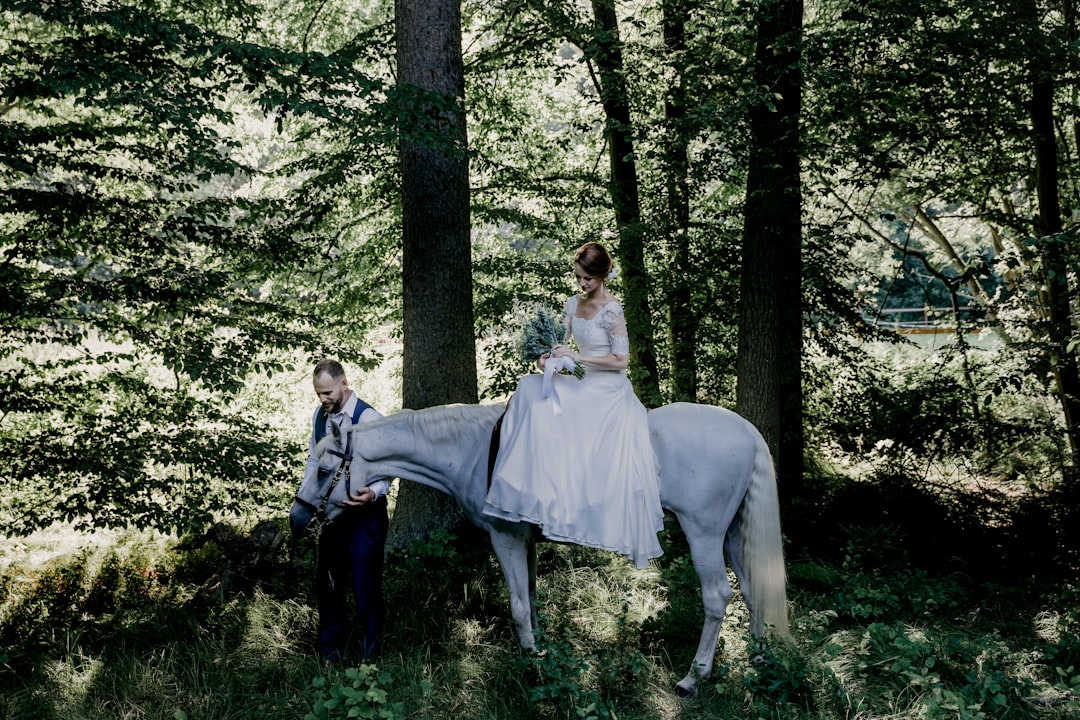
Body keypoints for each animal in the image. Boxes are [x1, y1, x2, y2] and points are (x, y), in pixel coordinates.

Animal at [291, 403, 790, 695]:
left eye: (324, 471)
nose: (297, 519)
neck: (475, 449)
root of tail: (744, 429)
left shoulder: (506, 537)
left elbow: (516, 606)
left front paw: (530, 662)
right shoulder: (527, 540)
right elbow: (530, 598)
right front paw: (543, 651)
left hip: (703, 532)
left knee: (717, 597)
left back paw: (694, 676)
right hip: (731, 533)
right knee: (753, 590)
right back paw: (762, 661)